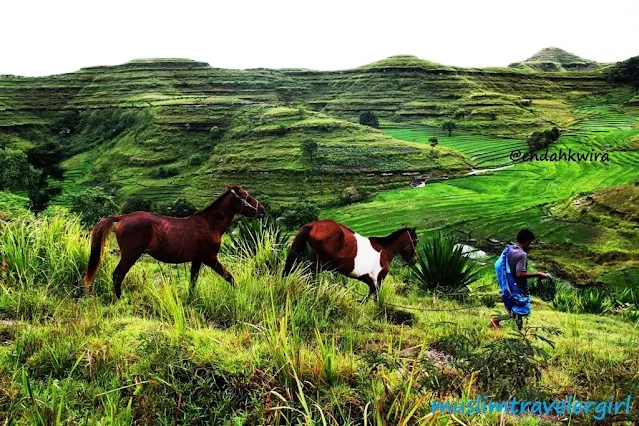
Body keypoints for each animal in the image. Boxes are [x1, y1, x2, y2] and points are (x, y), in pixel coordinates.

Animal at [84, 185, 264, 298]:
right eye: (246, 196)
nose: (262, 209)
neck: (210, 223)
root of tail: (122, 217)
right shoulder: (210, 258)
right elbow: (230, 277)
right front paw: (240, 295)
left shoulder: (197, 260)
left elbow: (192, 282)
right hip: (130, 255)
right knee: (117, 275)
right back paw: (119, 300)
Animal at [282, 220, 418, 302]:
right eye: (415, 241)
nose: (415, 260)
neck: (385, 250)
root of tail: (313, 225)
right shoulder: (377, 280)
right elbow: (376, 298)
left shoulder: (370, 281)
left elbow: (368, 296)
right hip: (318, 265)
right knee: (308, 276)